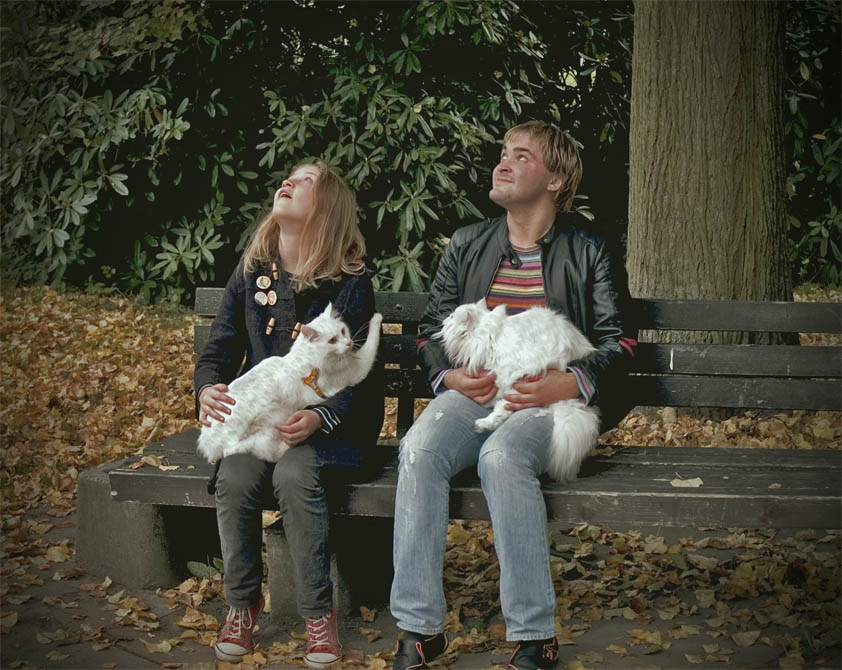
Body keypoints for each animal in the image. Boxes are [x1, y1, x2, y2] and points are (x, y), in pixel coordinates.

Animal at [197, 303, 382, 463]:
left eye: (343, 331)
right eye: (332, 341)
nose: (349, 343)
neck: (306, 358)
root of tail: (208, 445)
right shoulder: (356, 370)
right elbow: (371, 342)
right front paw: (377, 318)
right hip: (267, 429)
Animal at [437, 299, 600, 482]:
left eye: (451, 316)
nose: (444, 320)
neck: (487, 335)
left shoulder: (506, 374)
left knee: (502, 410)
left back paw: (483, 424)